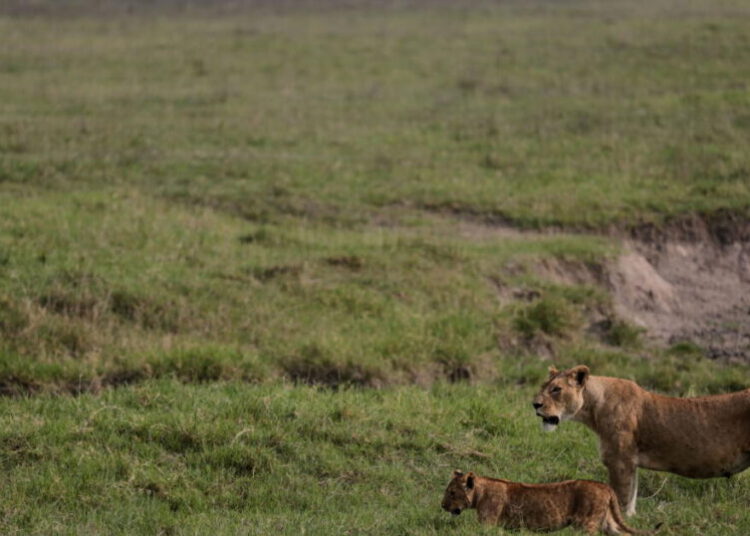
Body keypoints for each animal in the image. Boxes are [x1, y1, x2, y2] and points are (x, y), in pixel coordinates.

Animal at [441, 470, 656, 534]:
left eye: (451, 493)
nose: (442, 506)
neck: (481, 491)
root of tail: (604, 485)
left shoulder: (488, 523)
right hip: (607, 522)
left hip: (587, 523)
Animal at [533, 365, 750, 516]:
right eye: (543, 387)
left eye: (556, 389)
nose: (534, 404)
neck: (594, 407)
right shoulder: (630, 462)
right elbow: (630, 498)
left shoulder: (619, 460)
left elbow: (619, 497)